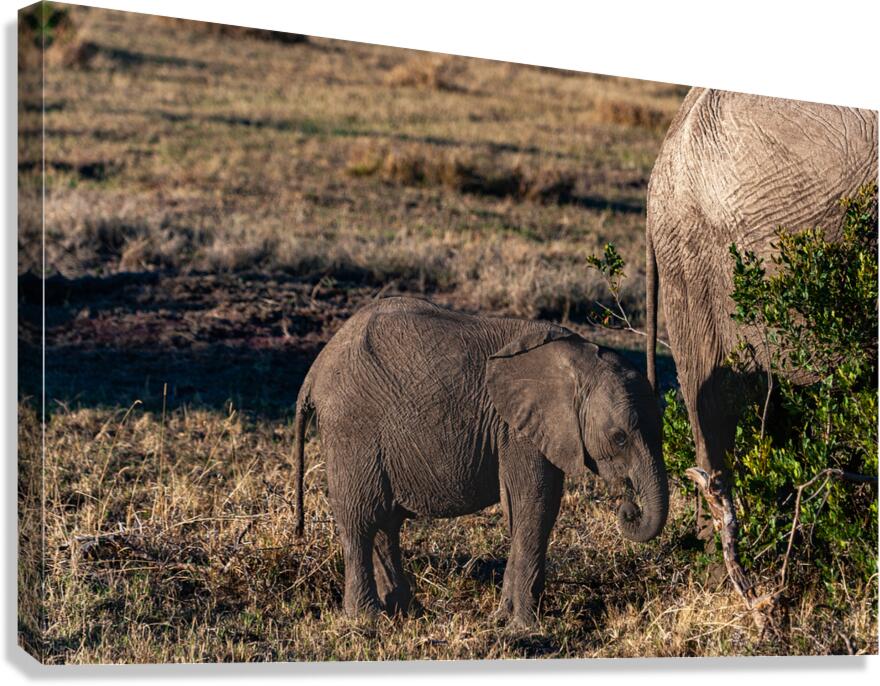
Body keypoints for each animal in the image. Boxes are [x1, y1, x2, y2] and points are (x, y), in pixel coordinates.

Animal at [293, 296, 668, 628]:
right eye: (620, 438)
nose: (629, 508)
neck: (578, 359)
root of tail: (314, 370)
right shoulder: (516, 428)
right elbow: (533, 506)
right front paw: (524, 625)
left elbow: (530, 511)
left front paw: (505, 618)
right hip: (351, 429)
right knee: (360, 521)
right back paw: (367, 619)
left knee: (384, 522)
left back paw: (406, 613)